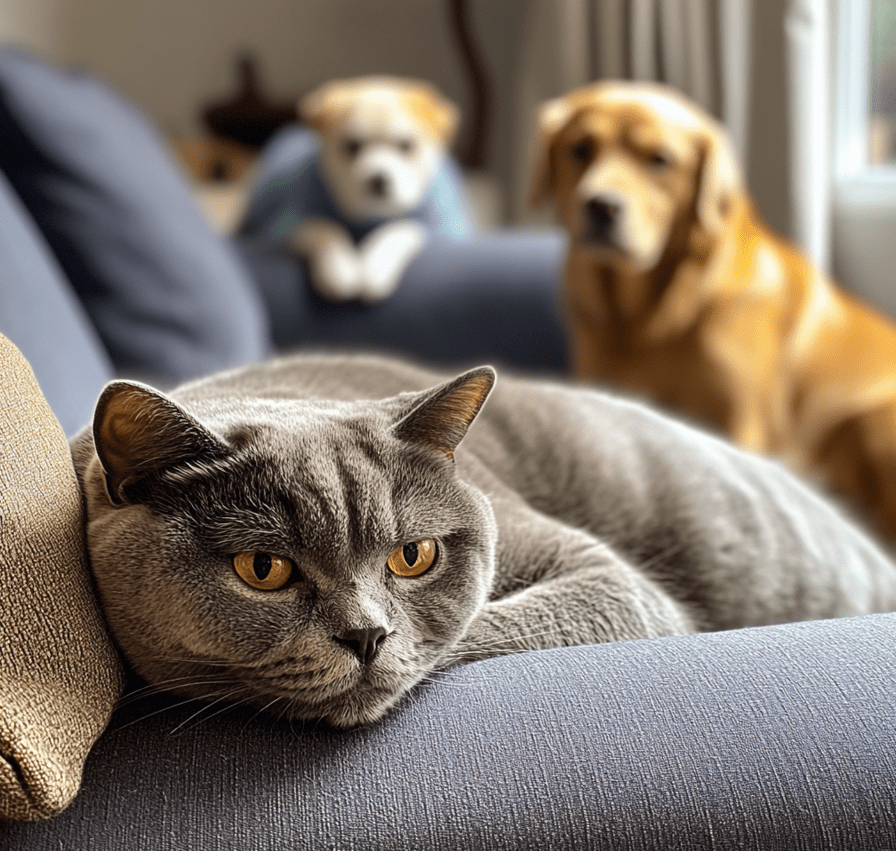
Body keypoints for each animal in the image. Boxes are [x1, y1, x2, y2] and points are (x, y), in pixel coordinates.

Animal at [532, 83, 896, 544]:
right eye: (580, 149)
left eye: (660, 160)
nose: (601, 206)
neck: (647, 322)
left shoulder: (739, 423)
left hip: (873, 421)